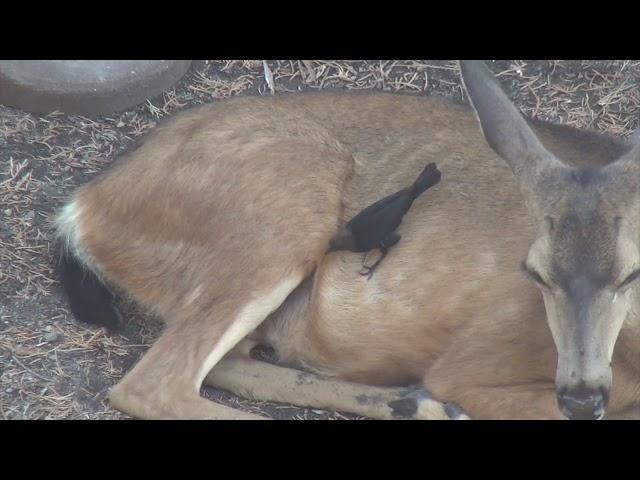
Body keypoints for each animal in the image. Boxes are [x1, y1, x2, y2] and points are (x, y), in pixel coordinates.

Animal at [55, 61, 640, 420]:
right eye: (534, 271)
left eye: (631, 272)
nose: (581, 396)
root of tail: (82, 206)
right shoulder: (470, 367)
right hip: (285, 208)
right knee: (155, 383)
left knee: (223, 362)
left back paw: (410, 404)